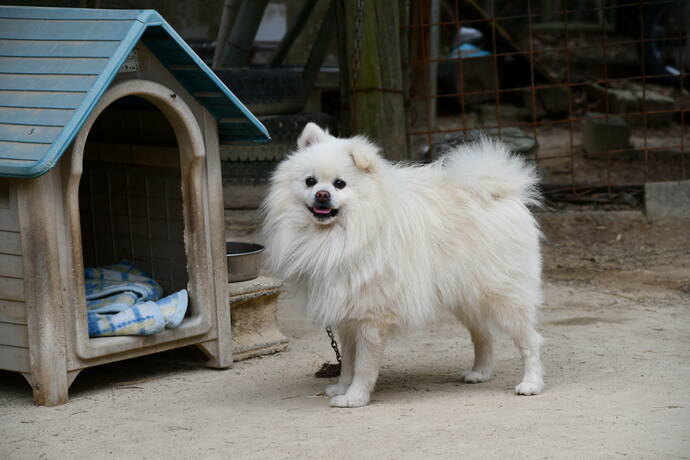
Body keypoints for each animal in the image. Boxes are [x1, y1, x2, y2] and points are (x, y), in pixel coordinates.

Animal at [260, 124, 544, 408]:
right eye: (310, 181)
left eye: (340, 184)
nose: (322, 194)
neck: (340, 234)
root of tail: (499, 190)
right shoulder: (348, 316)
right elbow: (348, 363)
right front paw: (341, 388)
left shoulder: (371, 318)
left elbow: (363, 366)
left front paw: (354, 397)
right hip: (467, 297)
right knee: (484, 334)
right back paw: (480, 372)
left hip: (505, 298)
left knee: (529, 340)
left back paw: (531, 383)